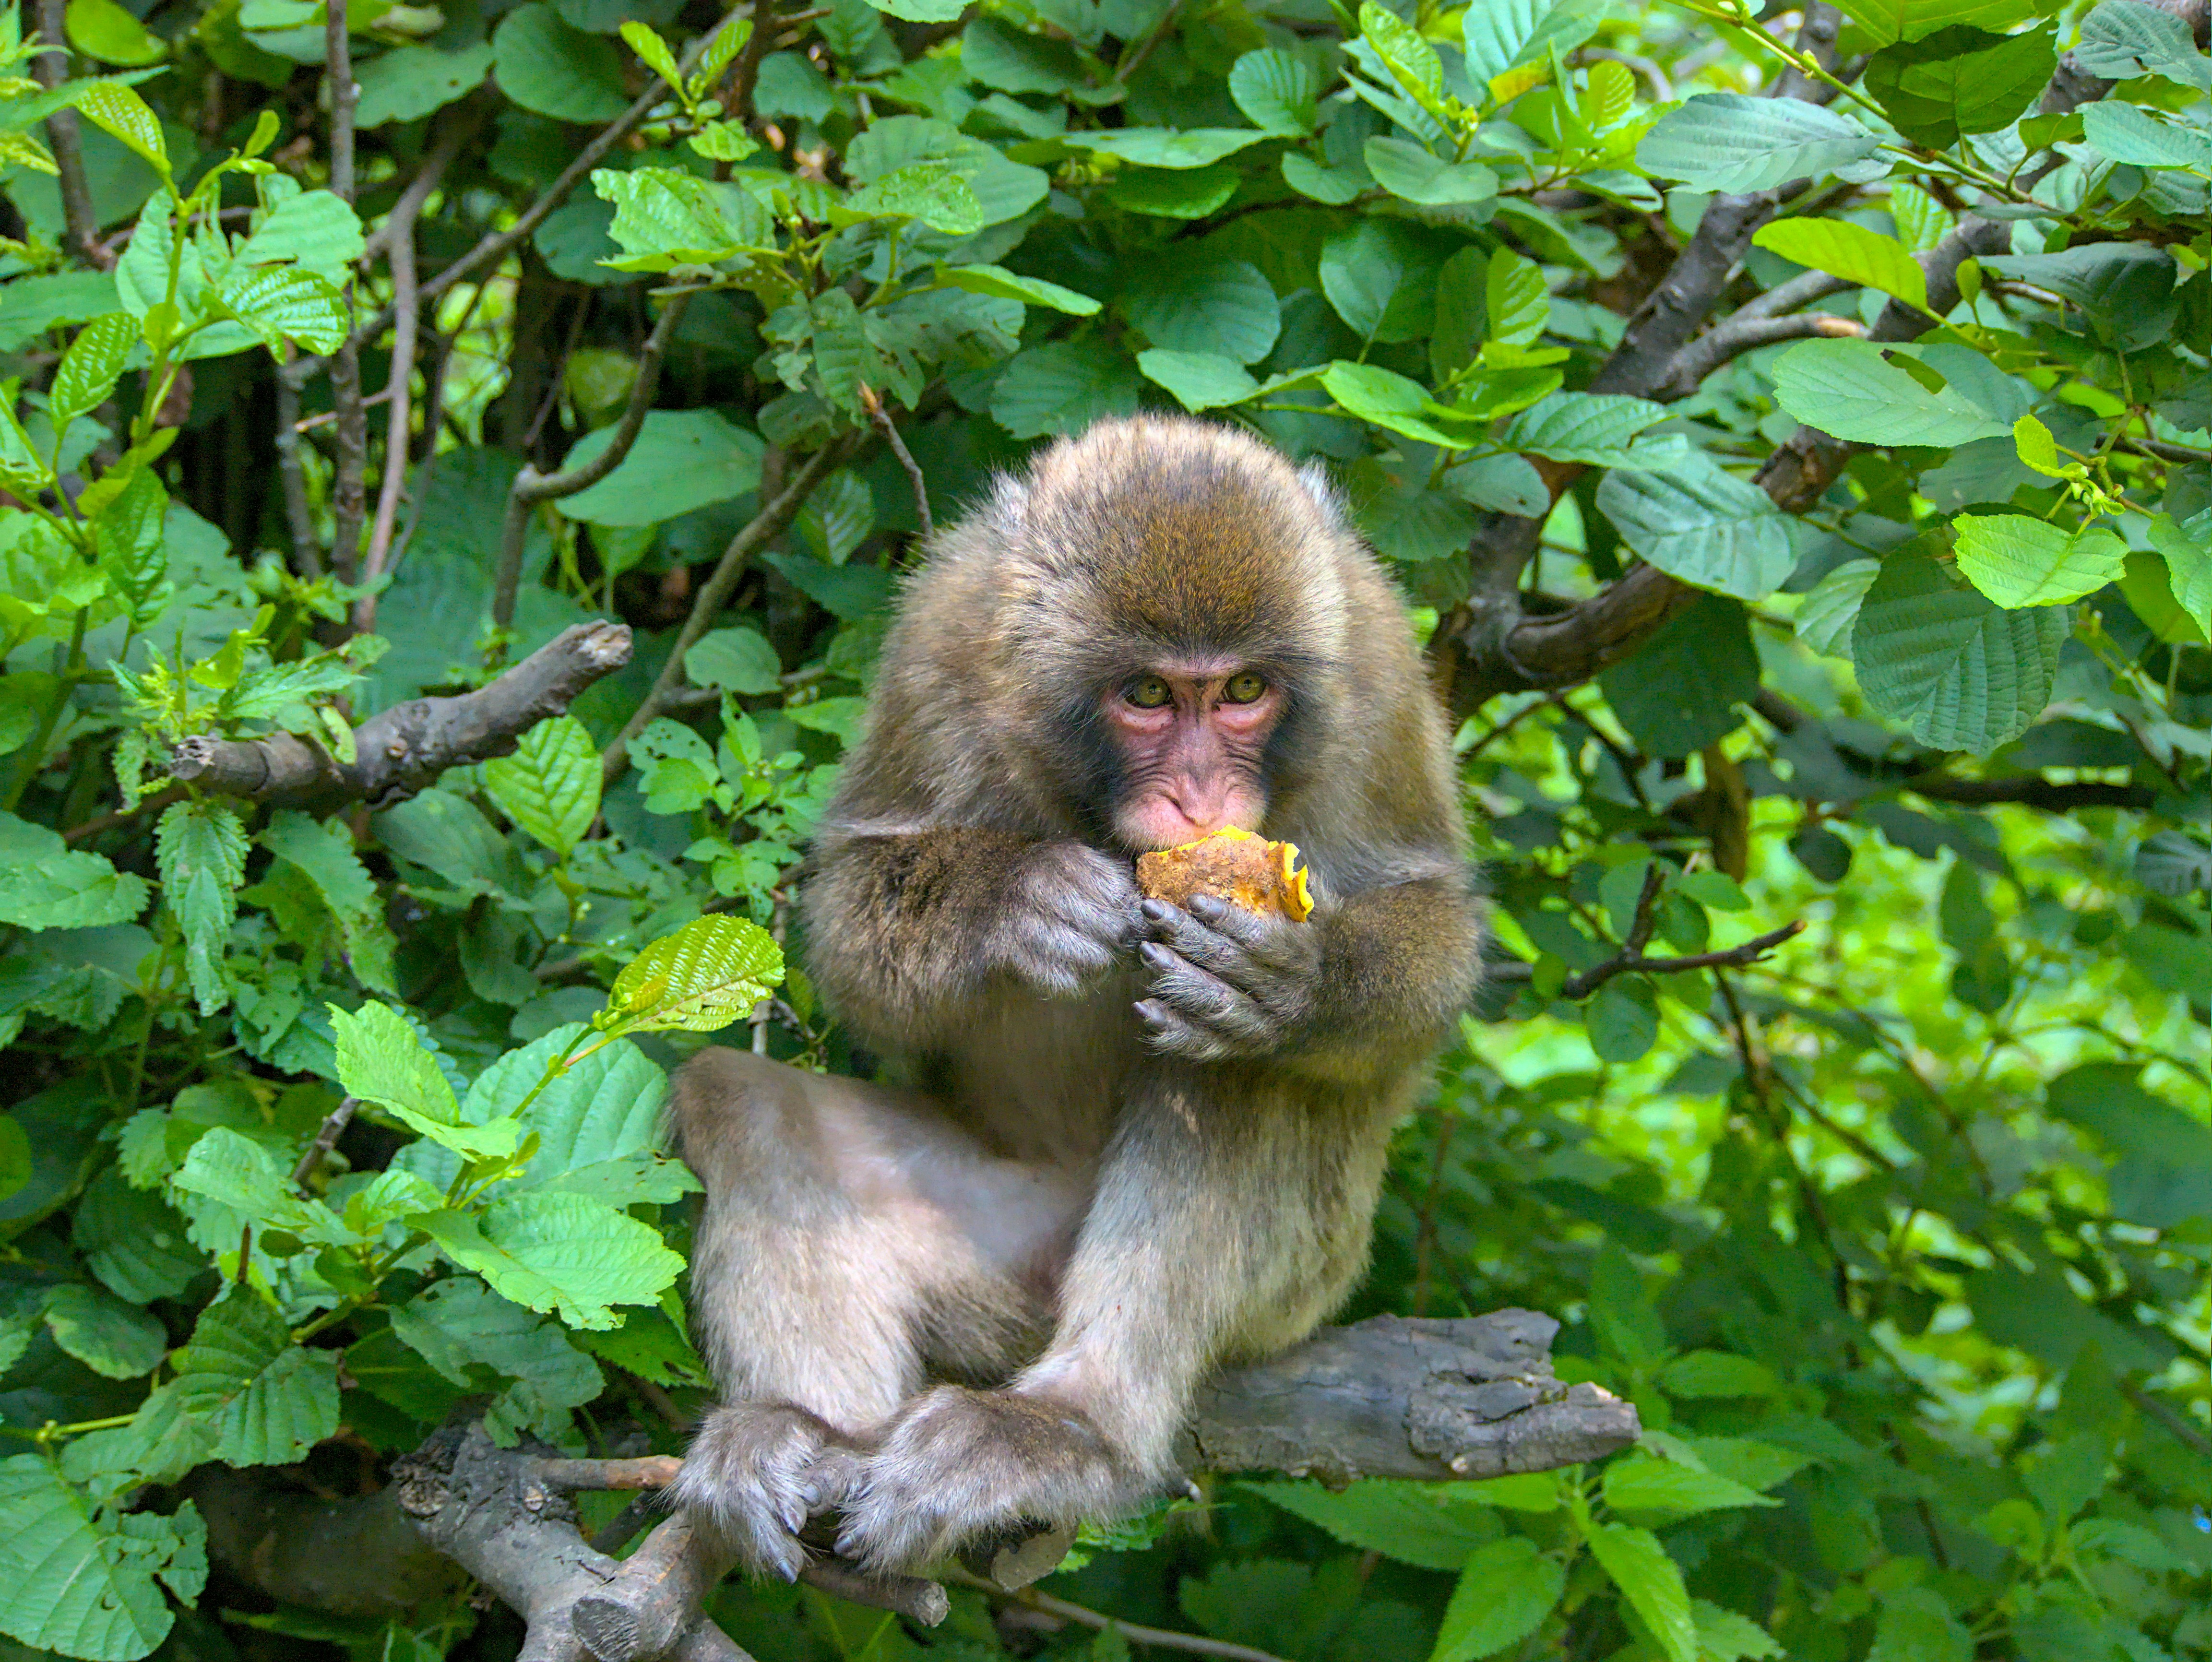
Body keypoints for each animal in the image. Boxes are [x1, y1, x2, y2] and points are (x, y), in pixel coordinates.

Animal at [668, 414, 1484, 1580]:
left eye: (1243, 691)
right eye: (1147, 696)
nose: (1200, 795)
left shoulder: (1375, 665)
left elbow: (1431, 923)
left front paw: (1296, 980)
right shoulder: (945, 637)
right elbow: (851, 906)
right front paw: (1020, 903)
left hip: (1303, 1280)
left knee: (1223, 1065)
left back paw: (1075, 1426)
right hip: (986, 1252)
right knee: (739, 1101)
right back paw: (805, 1433)